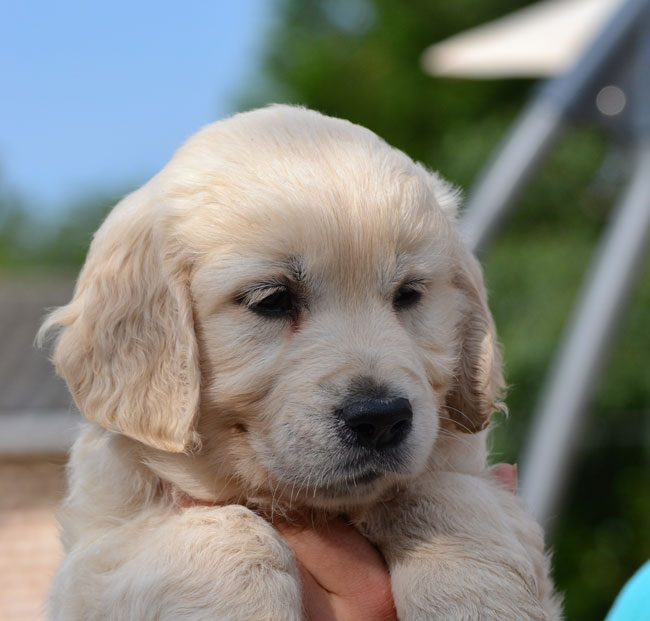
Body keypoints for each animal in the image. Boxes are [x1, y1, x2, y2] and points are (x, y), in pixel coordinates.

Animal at [40, 104, 560, 616]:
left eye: (409, 294)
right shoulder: (97, 552)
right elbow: (231, 532)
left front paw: (476, 598)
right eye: (272, 299)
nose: (381, 419)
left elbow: (439, 495)